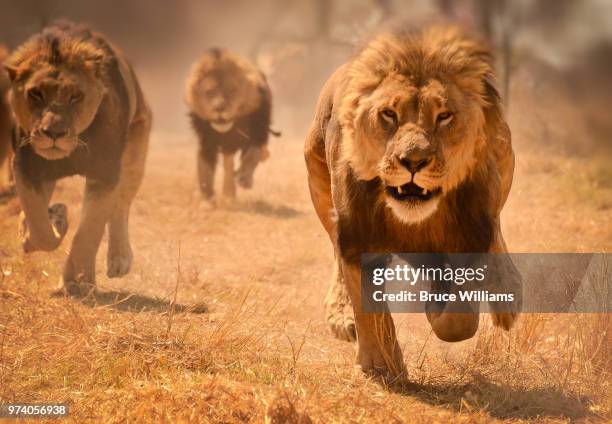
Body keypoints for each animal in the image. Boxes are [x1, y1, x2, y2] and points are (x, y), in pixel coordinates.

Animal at [3, 21, 151, 296]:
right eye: (36, 94)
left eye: (75, 96)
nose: (54, 133)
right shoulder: (26, 168)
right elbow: (39, 224)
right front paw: (54, 220)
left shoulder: (105, 174)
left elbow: (89, 231)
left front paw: (78, 281)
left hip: (136, 152)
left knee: (121, 207)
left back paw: (117, 260)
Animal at [183, 48, 276, 205]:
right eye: (210, 92)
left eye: (232, 91)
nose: (219, 108)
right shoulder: (207, 143)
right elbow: (205, 170)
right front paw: (207, 200)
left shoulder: (257, 133)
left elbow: (253, 155)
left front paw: (244, 178)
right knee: (228, 164)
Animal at [304, 26, 520, 378]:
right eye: (389, 114)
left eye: (444, 116)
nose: (414, 161)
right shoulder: (356, 232)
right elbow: (368, 305)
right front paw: (380, 365)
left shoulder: (472, 230)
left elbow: (460, 317)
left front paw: (438, 307)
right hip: (319, 182)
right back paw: (343, 317)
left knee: (496, 230)